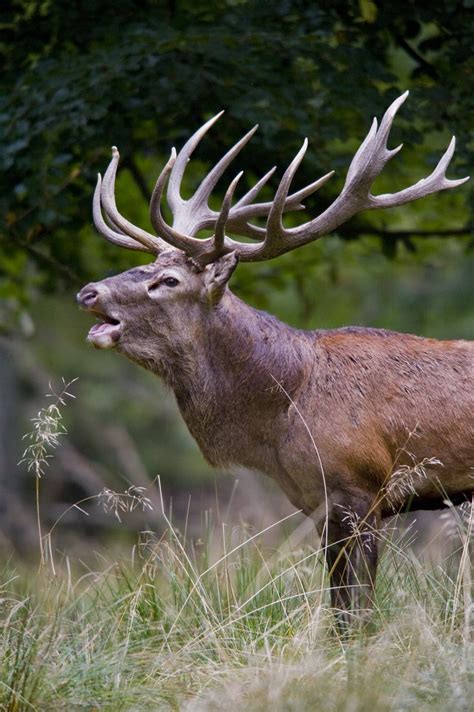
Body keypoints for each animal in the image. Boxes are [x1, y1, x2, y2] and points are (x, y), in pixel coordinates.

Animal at [77, 92, 474, 620]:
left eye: (168, 280)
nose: (88, 291)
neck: (285, 405)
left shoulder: (363, 489)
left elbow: (359, 612)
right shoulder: (319, 505)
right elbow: (339, 608)